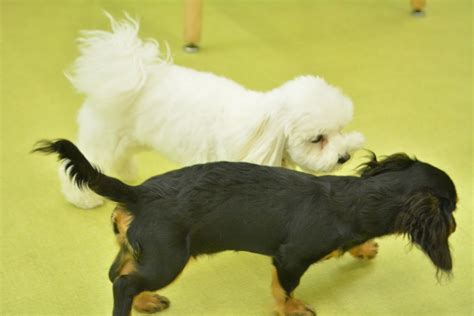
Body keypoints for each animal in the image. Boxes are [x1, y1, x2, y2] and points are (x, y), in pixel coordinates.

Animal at [33, 139, 456, 314]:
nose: (454, 225)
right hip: (168, 261)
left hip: (142, 251)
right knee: (122, 283)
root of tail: (139, 193)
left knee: (115, 274)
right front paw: (292, 309)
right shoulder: (290, 260)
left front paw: (363, 247)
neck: (354, 200)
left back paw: (146, 302)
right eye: (452, 209)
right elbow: (284, 290)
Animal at [59, 14, 362, 209]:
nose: (345, 157)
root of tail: (134, 70)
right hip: (105, 137)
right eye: (318, 139)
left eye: (341, 129)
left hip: (131, 139)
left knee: (120, 157)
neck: (263, 130)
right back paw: (83, 197)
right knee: (85, 162)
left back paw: (126, 171)